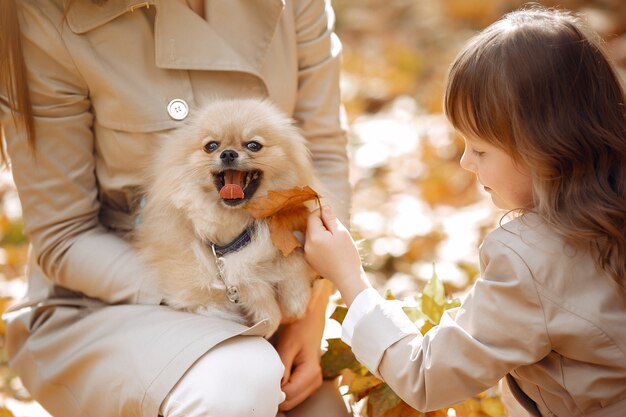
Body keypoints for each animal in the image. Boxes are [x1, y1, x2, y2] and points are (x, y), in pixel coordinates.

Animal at [136, 98, 322, 338]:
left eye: (253, 145)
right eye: (211, 146)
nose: (228, 154)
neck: (235, 223)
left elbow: (293, 257)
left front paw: (296, 299)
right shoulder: (196, 286)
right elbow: (246, 281)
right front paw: (269, 316)